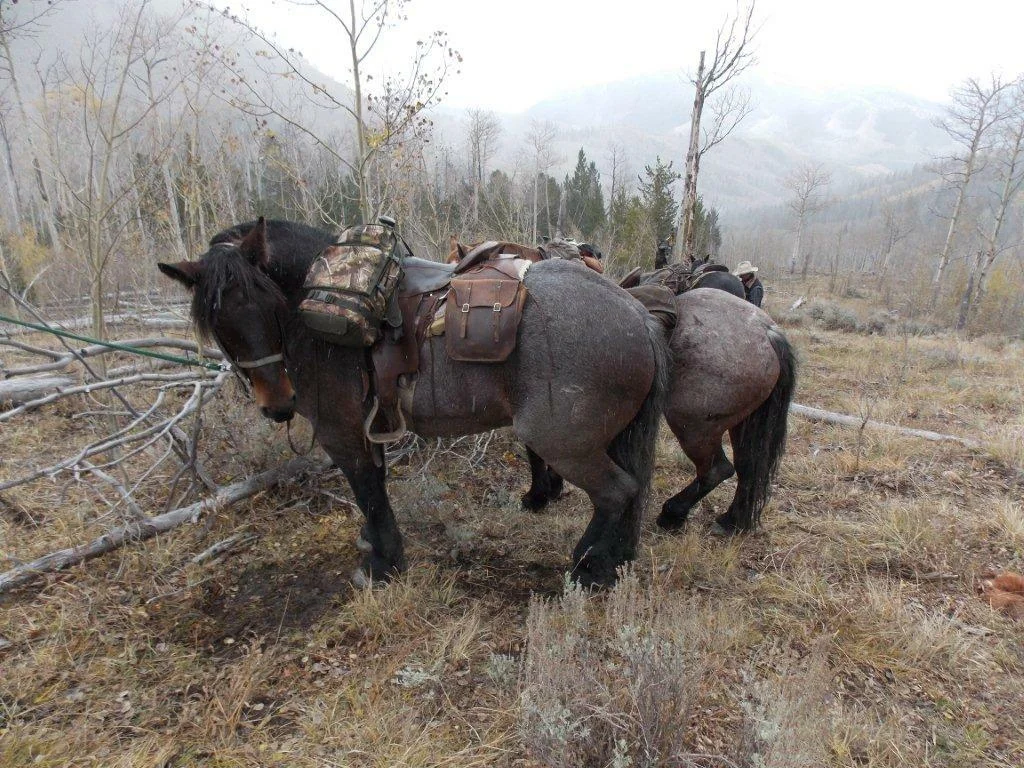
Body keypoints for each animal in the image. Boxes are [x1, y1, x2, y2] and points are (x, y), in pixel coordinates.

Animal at [157, 219, 671, 593]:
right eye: (217, 320)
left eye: (265, 301)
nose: (278, 403)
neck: (313, 301)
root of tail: (637, 314)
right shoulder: (369, 427)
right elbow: (376, 486)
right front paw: (375, 545)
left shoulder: (341, 432)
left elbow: (368, 490)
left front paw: (383, 563)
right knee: (630, 493)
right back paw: (615, 560)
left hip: (563, 443)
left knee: (616, 492)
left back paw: (588, 567)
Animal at [524, 288, 794, 536]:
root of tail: (766, 331)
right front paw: (551, 488)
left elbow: (535, 452)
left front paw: (537, 496)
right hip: (740, 424)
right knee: (748, 467)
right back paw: (730, 521)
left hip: (693, 428)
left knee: (717, 470)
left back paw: (673, 514)